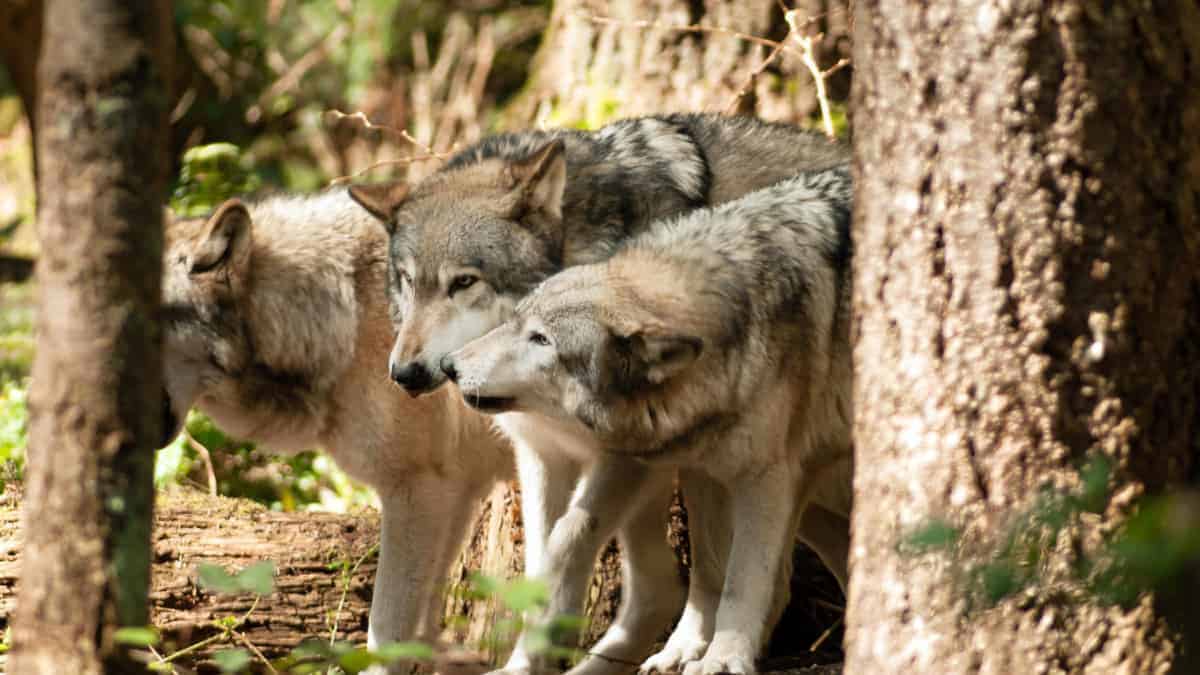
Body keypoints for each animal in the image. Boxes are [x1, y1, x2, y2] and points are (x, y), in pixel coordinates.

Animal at [348, 111, 849, 672]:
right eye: (408, 282)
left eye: (464, 282)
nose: (405, 373)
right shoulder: (543, 454)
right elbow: (543, 555)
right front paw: (527, 658)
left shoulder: (628, 450)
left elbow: (569, 540)